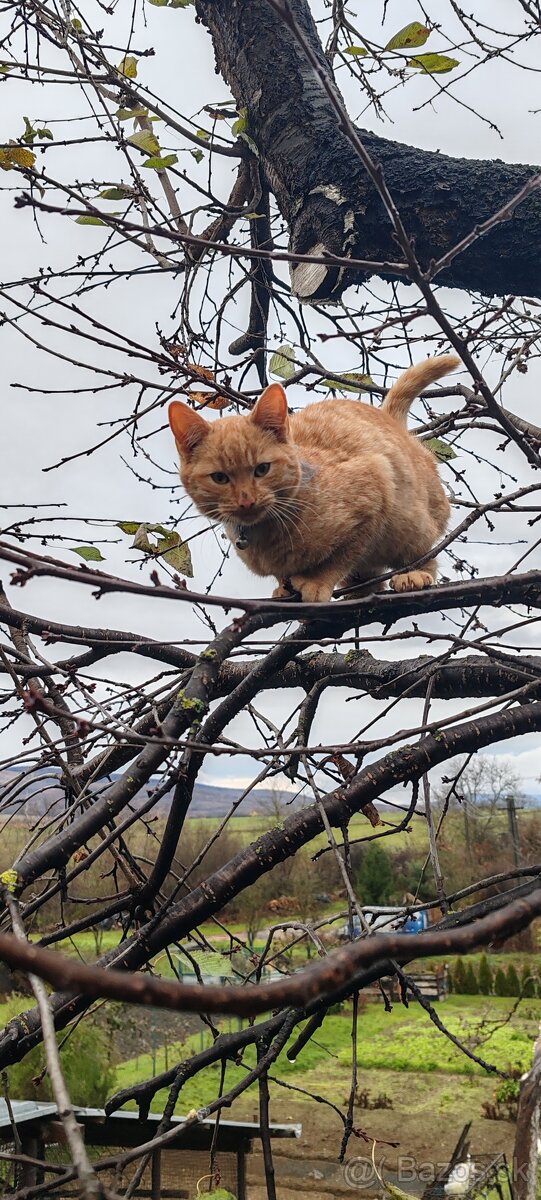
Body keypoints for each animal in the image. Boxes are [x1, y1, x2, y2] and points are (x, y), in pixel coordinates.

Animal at [170, 352, 460, 600]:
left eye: (262, 469)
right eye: (220, 478)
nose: (246, 501)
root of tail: (388, 418)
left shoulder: (375, 483)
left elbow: (340, 557)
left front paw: (317, 582)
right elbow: (284, 574)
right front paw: (284, 587)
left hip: (411, 522)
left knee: (424, 552)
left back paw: (414, 575)